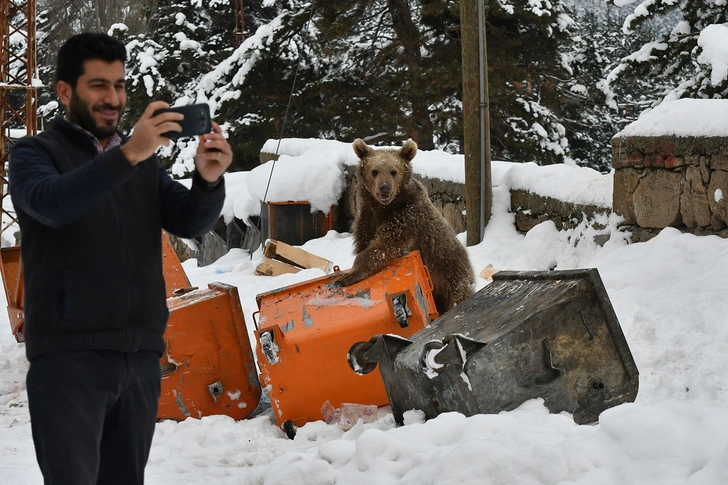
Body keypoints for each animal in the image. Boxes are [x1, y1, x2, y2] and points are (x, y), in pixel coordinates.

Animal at [336, 138, 478, 316]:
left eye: (393, 171)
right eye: (374, 171)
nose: (384, 187)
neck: (384, 208)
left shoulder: (407, 217)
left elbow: (384, 246)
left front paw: (346, 276)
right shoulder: (367, 219)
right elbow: (365, 243)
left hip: (450, 272)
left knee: (457, 294)